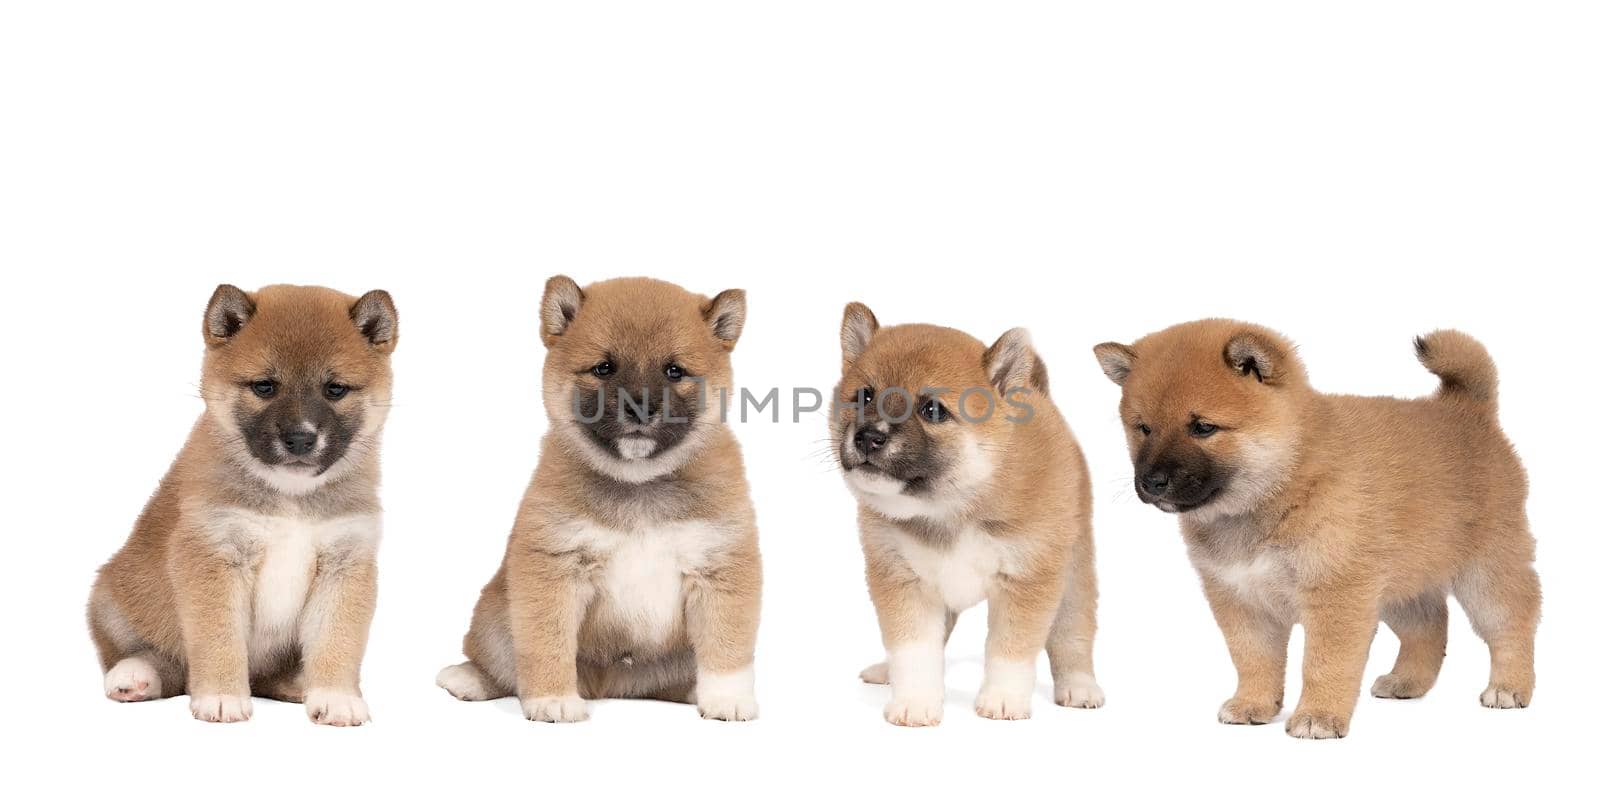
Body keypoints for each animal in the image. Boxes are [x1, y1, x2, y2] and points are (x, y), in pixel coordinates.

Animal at [88, 283, 400, 726]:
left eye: (335, 389)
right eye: (265, 386)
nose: (301, 438)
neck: (291, 495)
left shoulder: (345, 563)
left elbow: (337, 641)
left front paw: (336, 696)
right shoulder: (213, 556)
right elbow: (218, 639)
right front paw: (221, 697)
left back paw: (297, 685)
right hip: (111, 598)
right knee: (159, 661)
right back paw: (136, 675)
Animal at [438, 276, 761, 726]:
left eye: (674, 370)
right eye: (604, 367)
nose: (640, 407)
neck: (639, 484)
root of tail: (610, 686)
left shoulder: (720, 567)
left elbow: (727, 648)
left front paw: (727, 698)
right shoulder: (555, 570)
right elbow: (546, 645)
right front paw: (552, 699)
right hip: (493, 614)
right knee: (501, 662)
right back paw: (469, 678)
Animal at [832, 304, 1107, 726]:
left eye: (932, 410)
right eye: (864, 396)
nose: (867, 437)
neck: (951, 509)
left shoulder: (1026, 583)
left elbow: (1010, 651)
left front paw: (1004, 699)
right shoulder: (904, 583)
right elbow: (914, 651)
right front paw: (915, 701)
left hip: (1073, 577)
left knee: (1072, 636)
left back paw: (1079, 685)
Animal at [1100, 316, 1536, 736]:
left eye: (1203, 427)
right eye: (1143, 428)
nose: (1151, 481)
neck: (1281, 485)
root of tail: (1467, 408)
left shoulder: (1336, 594)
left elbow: (1324, 664)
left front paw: (1318, 717)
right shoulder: (1241, 599)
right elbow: (1253, 660)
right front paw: (1253, 705)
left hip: (1485, 573)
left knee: (1514, 620)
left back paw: (1509, 687)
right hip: (1399, 585)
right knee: (1430, 626)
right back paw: (1406, 682)